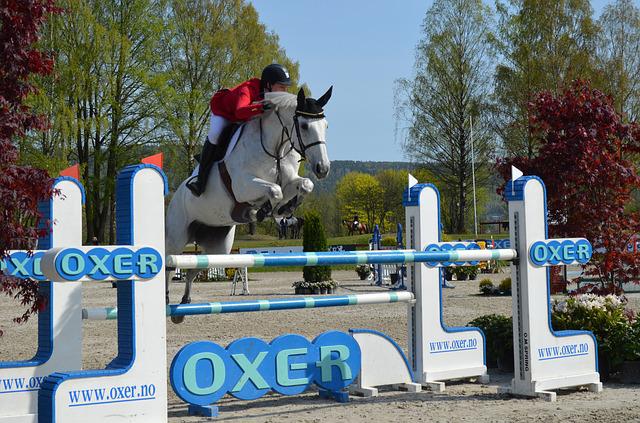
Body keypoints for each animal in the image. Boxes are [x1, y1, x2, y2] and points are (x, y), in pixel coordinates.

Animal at [165, 88, 332, 322]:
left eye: (325, 125)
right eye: (305, 126)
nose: (323, 168)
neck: (275, 148)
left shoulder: (289, 181)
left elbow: (303, 185)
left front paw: (283, 209)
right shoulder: (243, 186)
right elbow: (274, 190)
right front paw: (264, 211)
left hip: (219, 249)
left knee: (192, 270)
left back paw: (183, 306)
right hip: (176, 237)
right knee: (169, 267)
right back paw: (166, 300)